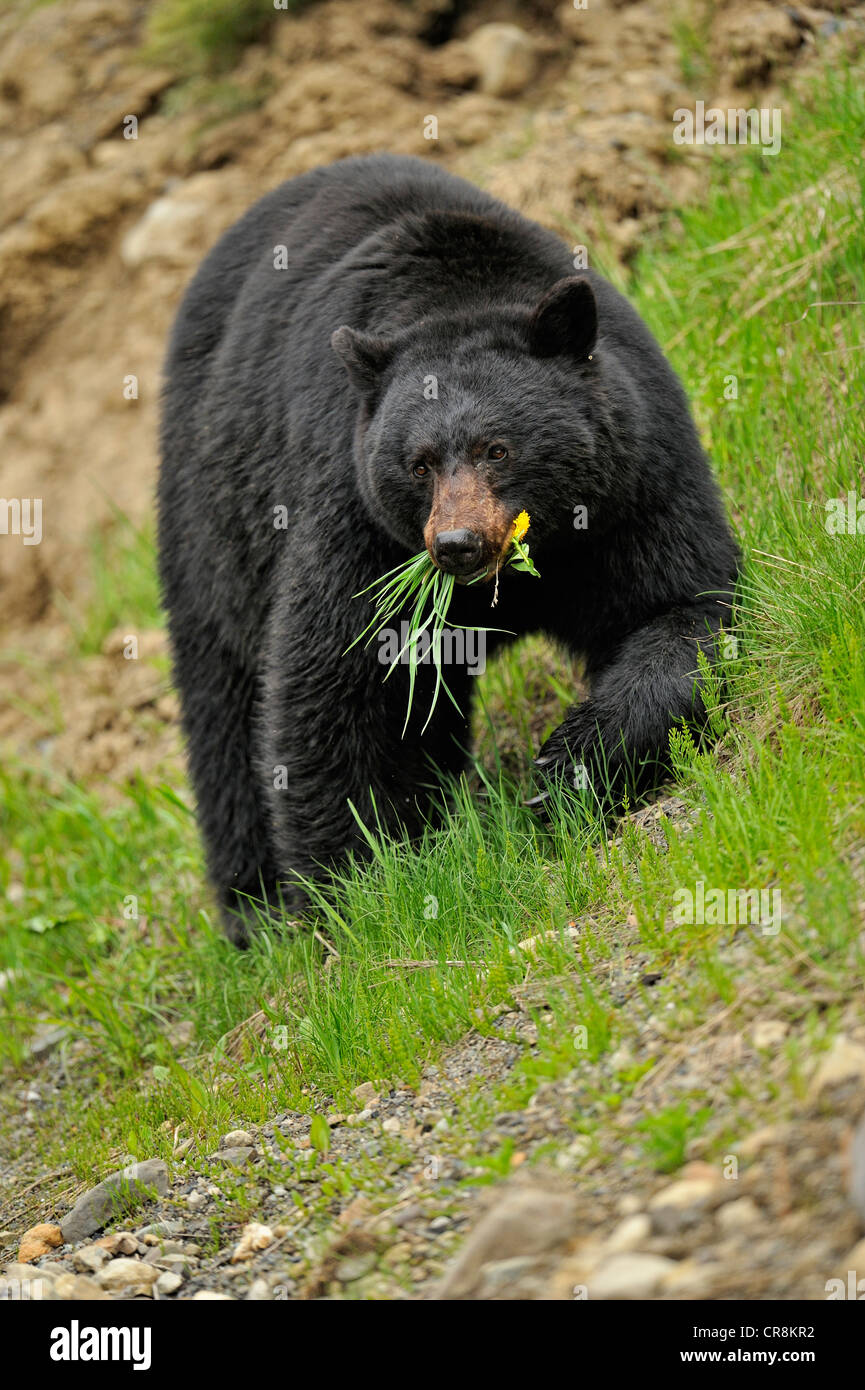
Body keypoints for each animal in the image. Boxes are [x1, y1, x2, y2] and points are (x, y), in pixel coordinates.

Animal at [157, 152, 739, 939]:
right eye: (419, 463)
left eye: (498, 448)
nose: (457, 544)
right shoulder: (355, 515)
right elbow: (336, 682)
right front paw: (355, 894)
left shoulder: (633, 481)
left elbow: (684, 608)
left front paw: (568, 770)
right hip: (211, 519)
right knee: (221, 704)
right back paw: (256, 911)